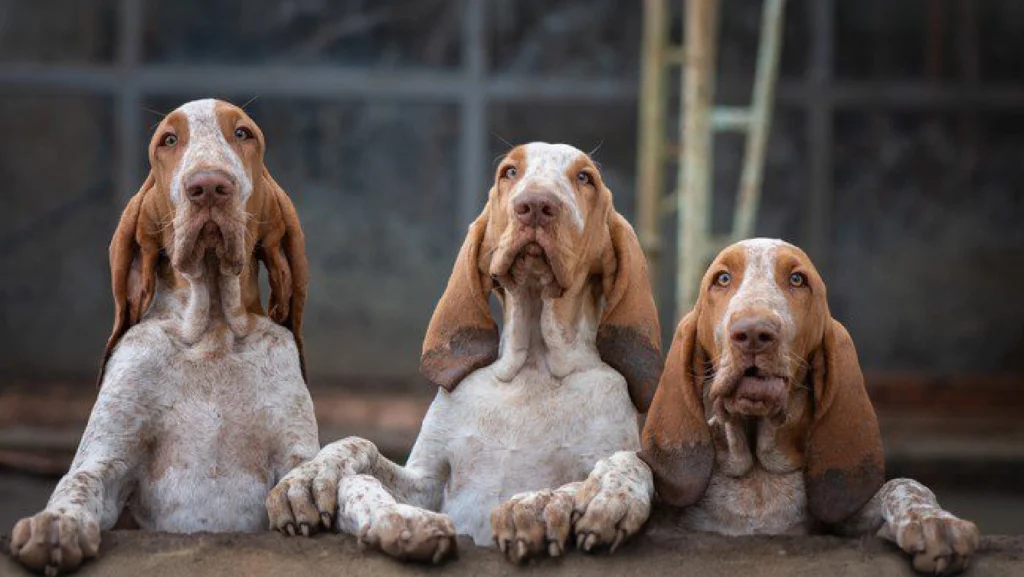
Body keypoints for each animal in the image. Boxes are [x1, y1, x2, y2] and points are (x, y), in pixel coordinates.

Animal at [9, 98, 317, 573]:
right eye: (168, 140)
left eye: (243, 134)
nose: (208, 186)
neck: (212, 331)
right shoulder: (106, 458)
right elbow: (78, 483)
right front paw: (56, 524)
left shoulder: (294, 449)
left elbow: (311, 470)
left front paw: (306, 493)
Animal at [268, 143, 659, 565]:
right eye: (509, 172)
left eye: (585, 177)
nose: (536, 205)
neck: (533, 364)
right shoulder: (427, 481)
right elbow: (358, 444)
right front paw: (308, 478)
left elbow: (618, 466)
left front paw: (546, 504)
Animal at [643, 237, 978, 573]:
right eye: (722, 279)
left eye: (797, 280)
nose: (752, 334)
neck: (758, 478)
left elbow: (904, 485)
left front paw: (935, 521)